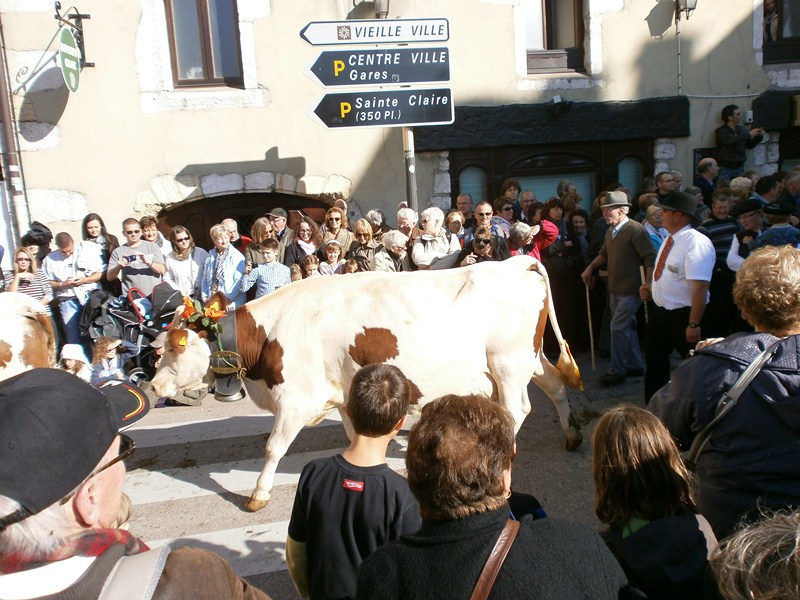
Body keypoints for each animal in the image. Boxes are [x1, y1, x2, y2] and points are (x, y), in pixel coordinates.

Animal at [153, 255, 584, 512]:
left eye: (174, 347)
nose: (154, 387)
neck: (271, 331)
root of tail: (518, 261)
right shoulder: (344, 394)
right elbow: (354, 435)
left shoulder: (296, 400)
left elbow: (274, 448)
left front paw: (258, 494)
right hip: (528, 359)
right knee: (556, 385)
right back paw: (572, 435)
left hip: (507, 363)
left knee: (517, 410)